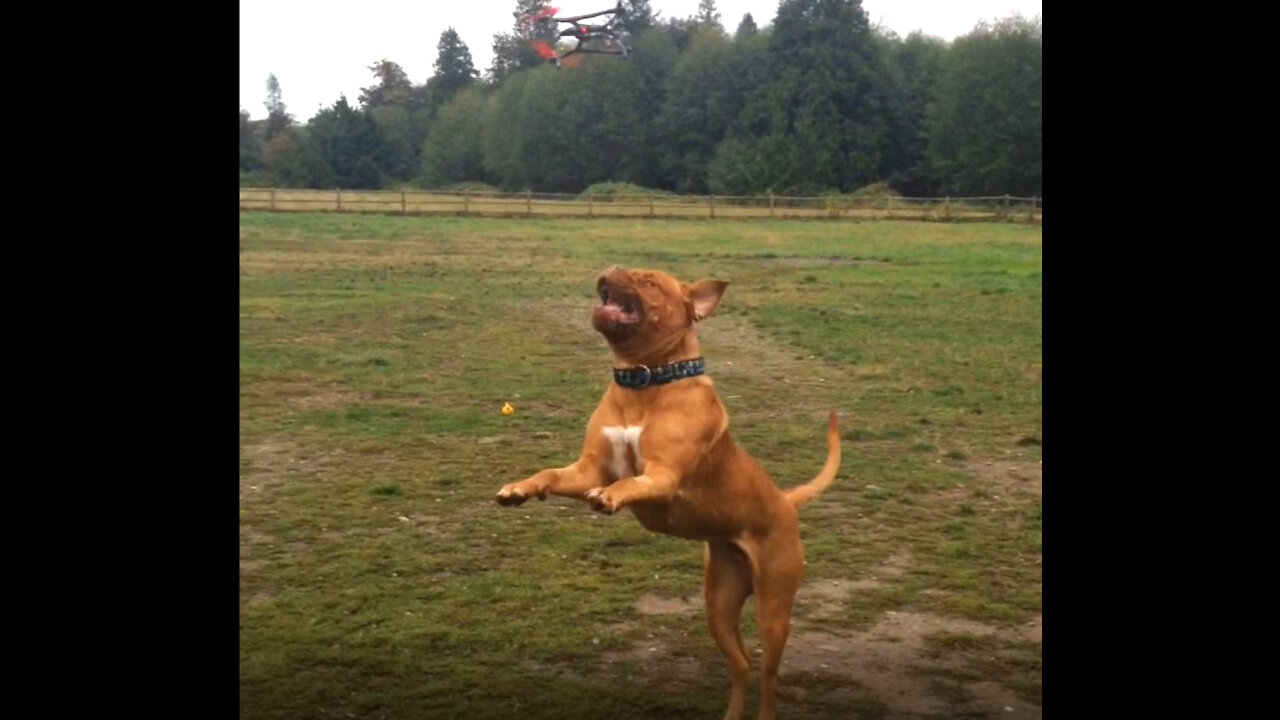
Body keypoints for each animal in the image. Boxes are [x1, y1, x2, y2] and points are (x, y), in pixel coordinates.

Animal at [491, 265, 839, 717]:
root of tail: (785, 499)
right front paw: (519, 488)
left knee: (768, 676)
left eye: (651, 283)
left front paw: (611, 497)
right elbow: (549, 473)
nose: (612, 267)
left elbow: (631, 482)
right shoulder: (589, 469)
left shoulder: (663, 476)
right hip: (719, 604)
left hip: (773, 607)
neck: (643, 381)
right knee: (742, 665)